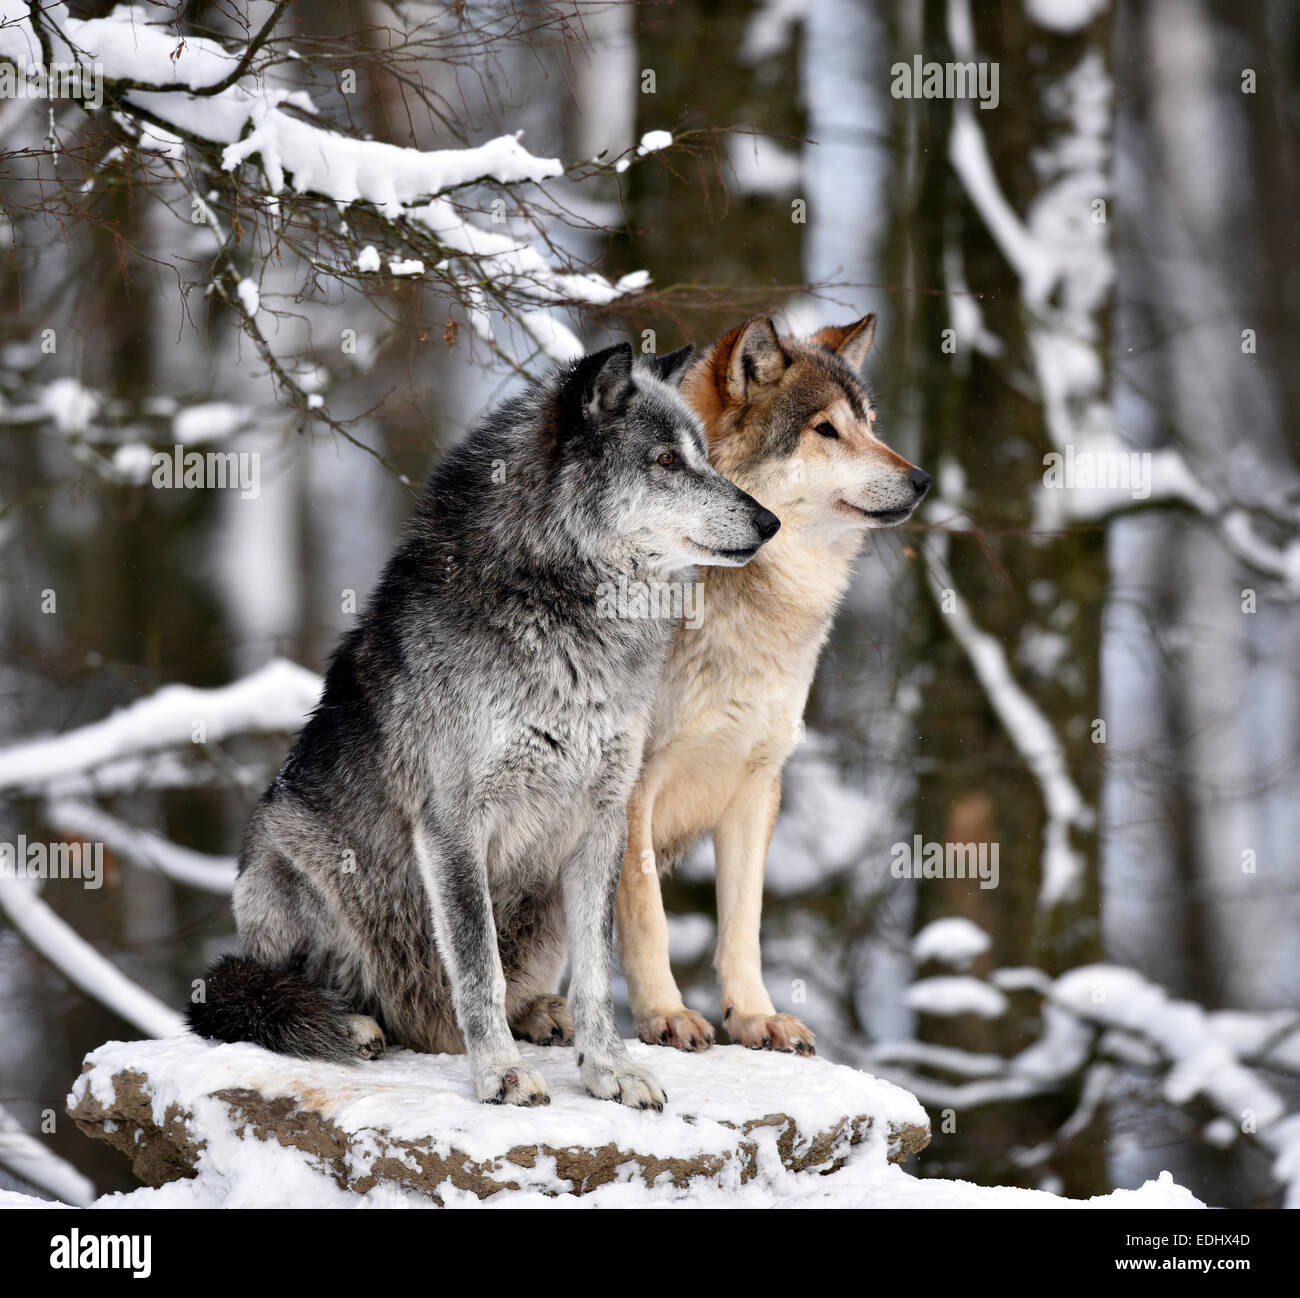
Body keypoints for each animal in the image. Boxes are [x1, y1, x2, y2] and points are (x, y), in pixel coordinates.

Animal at [188, 343, 774, 1108]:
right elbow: (477, 968)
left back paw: (541, 1015)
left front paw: (608, 1068)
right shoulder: (453, 826)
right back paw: (351, 1024)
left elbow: (595, 978)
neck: (562, 612)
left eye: (703, 455)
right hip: (294, 858)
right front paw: (500, 1072)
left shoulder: (603, 820)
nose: (770, 523)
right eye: (667, 461)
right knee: (277, 987)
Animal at [616, 314, 930, 1056]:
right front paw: (664, 1014)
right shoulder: (629, 784)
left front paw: (755, 1017)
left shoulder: (757, 783)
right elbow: (648, 914)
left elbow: (744, 924)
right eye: (825, 429)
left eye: (869, 424)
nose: (923, 480)